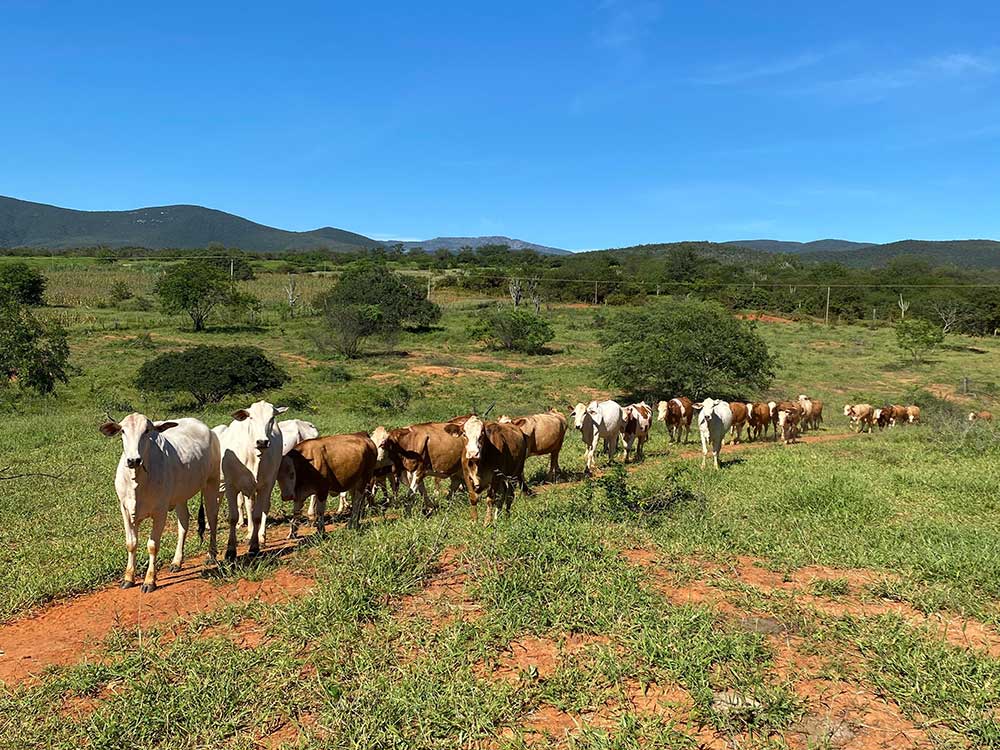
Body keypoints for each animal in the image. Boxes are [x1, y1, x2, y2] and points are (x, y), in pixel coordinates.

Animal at [100, 414, 221, 593]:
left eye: (147, 430)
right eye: (122, 431)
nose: (133, 460)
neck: (137, 479)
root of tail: (208, 430)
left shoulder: (160, 511)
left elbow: (152, 545)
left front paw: (150, 580)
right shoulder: (125, 509)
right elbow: (131, 543)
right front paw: (128, 578)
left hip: (211, 483)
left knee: (212, 518)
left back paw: (211, 555)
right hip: (180, 496)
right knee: (183, 523)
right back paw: (176, 562)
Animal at [213, 401, 287, 560]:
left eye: (272, 418)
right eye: (251, 417)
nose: (262, 442)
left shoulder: (265, 486)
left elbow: (258, 515)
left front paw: (254, 546)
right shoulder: (231, 486)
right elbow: (233, 517)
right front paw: (230, 550)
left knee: (263, 507)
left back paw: (260, 536)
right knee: (249, 505)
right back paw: (249, 533)